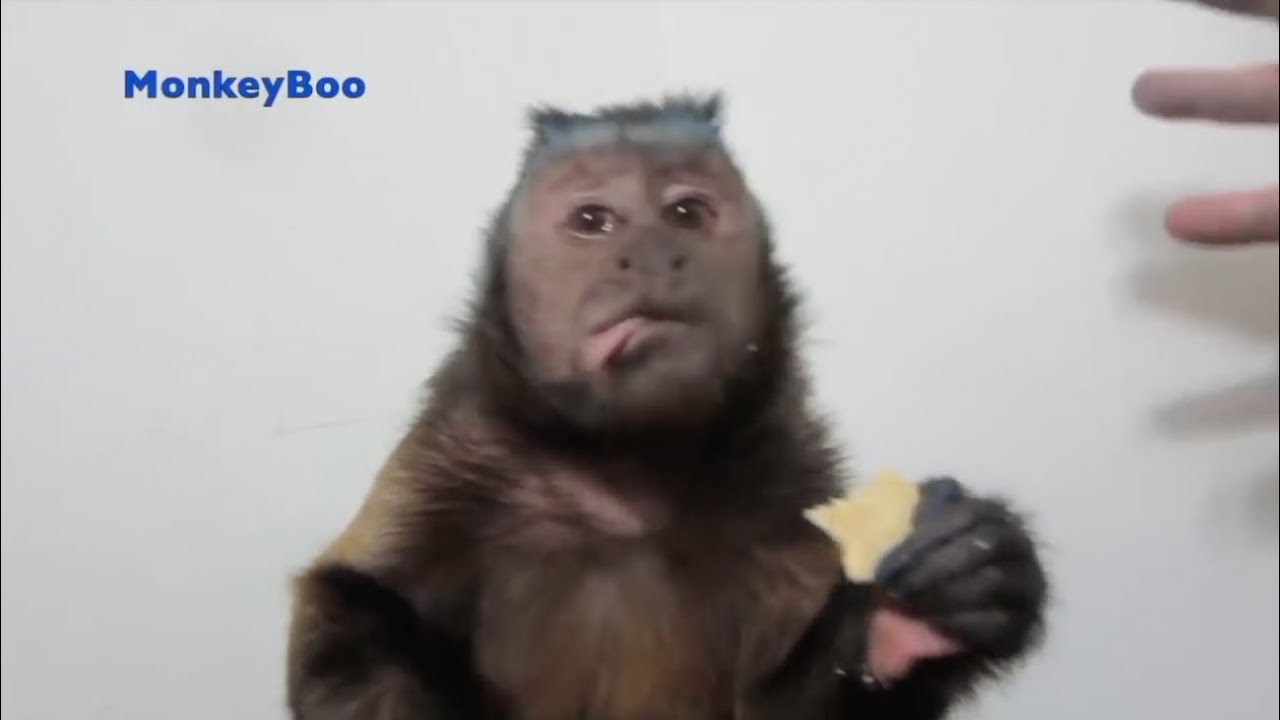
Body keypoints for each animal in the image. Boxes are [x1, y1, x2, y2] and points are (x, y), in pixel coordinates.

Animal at [284, 93, 1048, 720]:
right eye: (594, 221)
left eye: (687, 212)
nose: (652, 251)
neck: (630, 473)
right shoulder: (457, 459)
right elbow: (345, 613)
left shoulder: (787, 487)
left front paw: (915, 619)